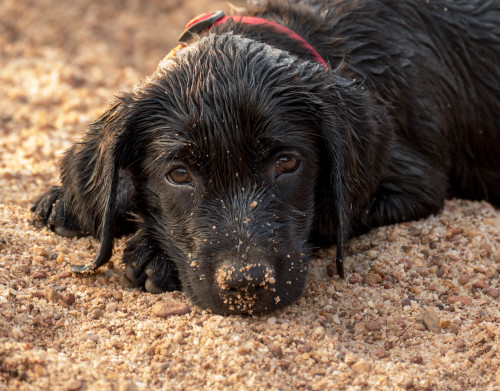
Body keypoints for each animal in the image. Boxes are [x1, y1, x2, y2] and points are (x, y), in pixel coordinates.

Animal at [32, 0, 500, 314]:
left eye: (287, 164)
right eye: (179, 174)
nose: (245, 285)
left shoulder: (413, 181)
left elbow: (331, 209)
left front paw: (154, 253)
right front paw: (70, 200)